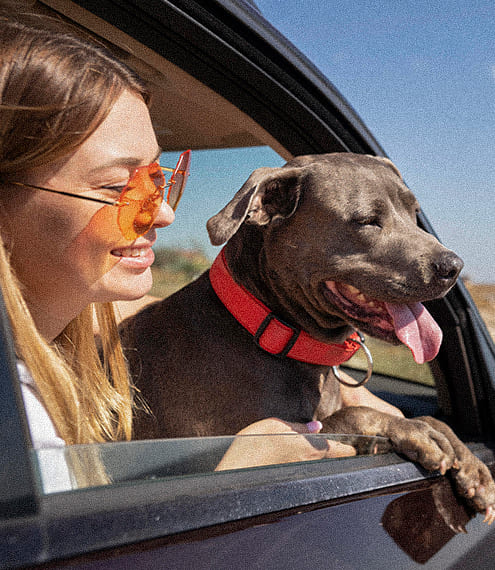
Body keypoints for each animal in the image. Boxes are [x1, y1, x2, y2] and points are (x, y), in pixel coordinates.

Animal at [121, 152, 495, 520]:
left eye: (414, 213)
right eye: (367, 220)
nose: (453, 267)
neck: (270, 330)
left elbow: (428, 419)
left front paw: (468, 462)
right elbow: (352, 416)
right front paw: (413, 431)